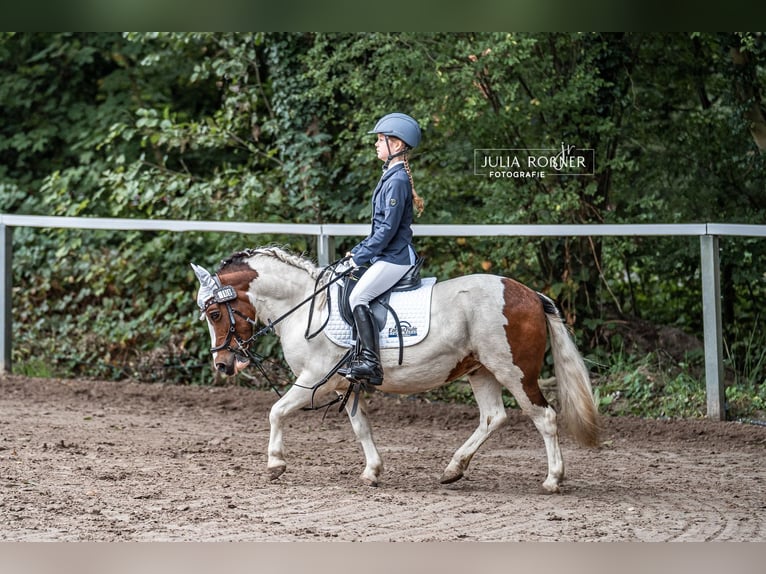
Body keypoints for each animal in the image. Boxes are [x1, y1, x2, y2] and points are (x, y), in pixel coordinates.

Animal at [192, 248, 600, 496]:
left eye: (214, 313)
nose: (223, 364)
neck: (306, 305)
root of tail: (531, 294)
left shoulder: (314, 380)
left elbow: (276, 412)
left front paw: (275, 464)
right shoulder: (343, 383)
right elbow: (361, 426)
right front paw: (372, 471)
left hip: (515, 372)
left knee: (544, 418)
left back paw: (552, 480)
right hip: (480, 370)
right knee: (493, 417)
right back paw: (453, 469)